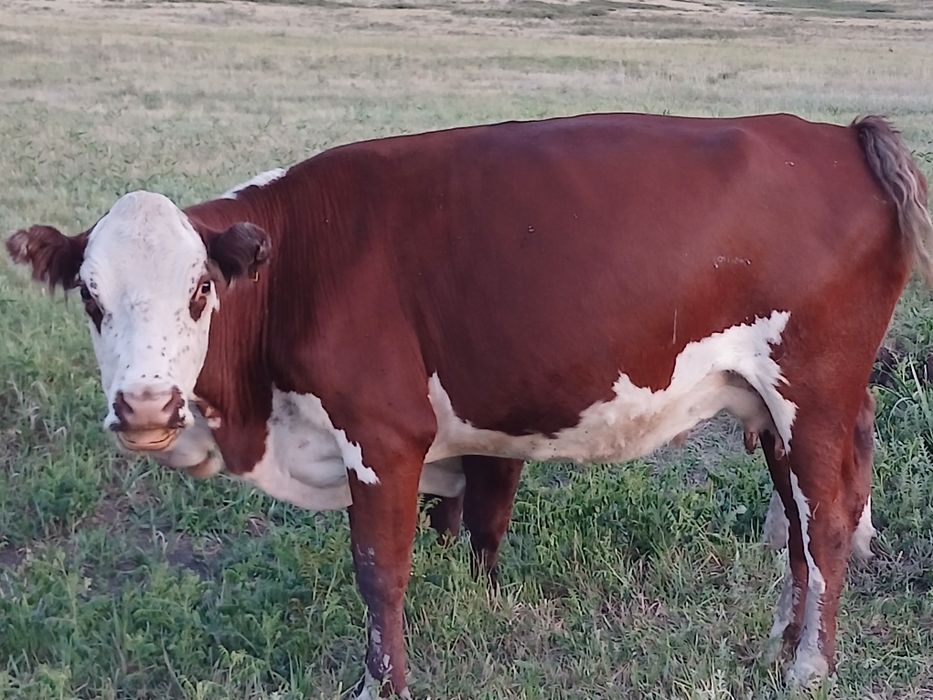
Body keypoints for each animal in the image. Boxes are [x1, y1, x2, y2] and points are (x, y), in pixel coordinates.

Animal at [7, 112, 931, 697]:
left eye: (200, 290)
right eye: (90, 295)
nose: (146, 406)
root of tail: (832, 136)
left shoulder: (381, 434)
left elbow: (380, 571)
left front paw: (382, 686)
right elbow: (466, 530)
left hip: (813, 391)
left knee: (828, 518)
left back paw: (809, 666)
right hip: (773, 405)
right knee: (799, 526)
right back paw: (781, 640)